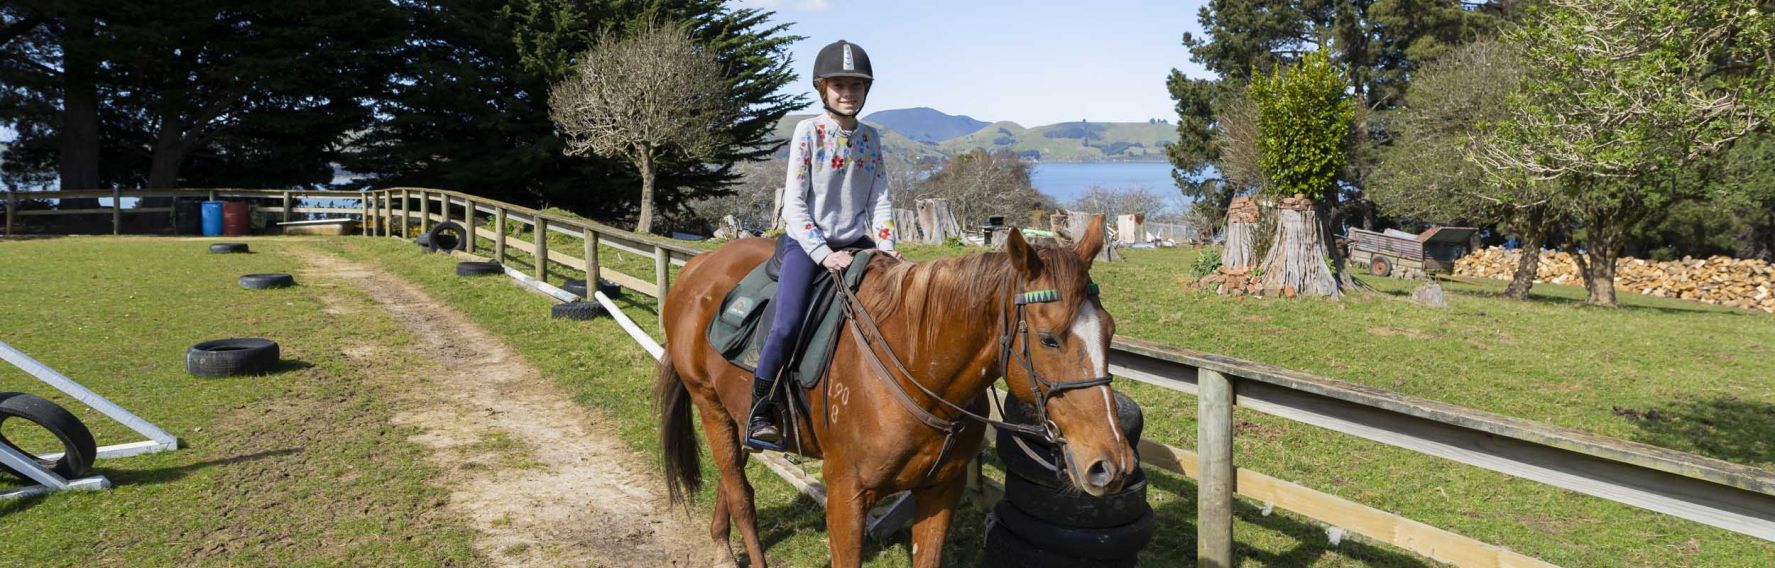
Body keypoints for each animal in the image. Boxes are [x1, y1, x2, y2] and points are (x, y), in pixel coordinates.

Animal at [656, 217, 1136, 568]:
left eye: (1110, 331)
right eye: (1049, 339)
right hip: (710, 404)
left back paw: (720, 542)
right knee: (740, 494)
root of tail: (698, 269)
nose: (1112, 464)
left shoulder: (940, 491)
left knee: (732, 476)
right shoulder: (846, 496)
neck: (915, 371)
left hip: (735, 412)